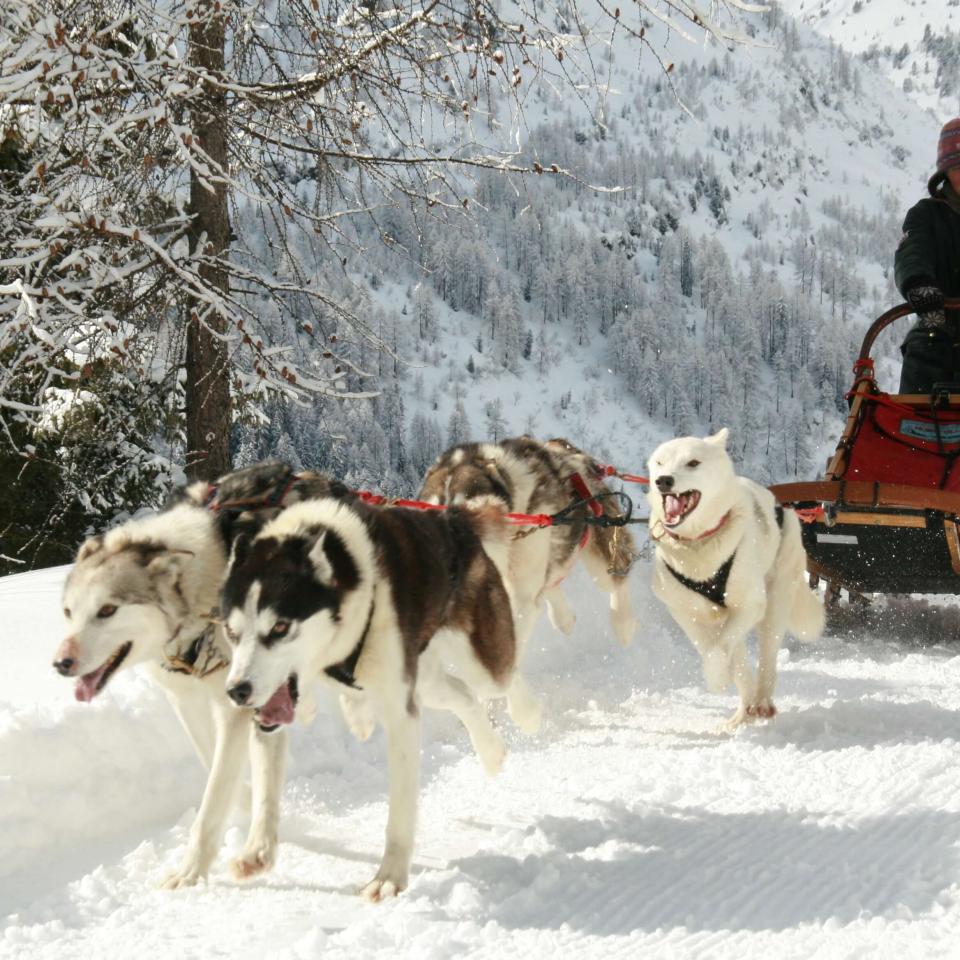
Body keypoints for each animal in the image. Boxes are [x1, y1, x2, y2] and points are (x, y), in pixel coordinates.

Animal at [52, 462, 344, 888]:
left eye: (107, 610)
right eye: (69, 612)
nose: (61, 663)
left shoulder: (234, 706)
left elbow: (214, 798)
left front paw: (191, 871)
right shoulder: (186, 699)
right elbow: (215, 765)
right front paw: (244, 798)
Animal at [216, 496, 540, 900]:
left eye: (279, 626)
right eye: (232, 631)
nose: (237, 691)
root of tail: (454, 518)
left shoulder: (401, 713)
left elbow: (399, 812)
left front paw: (389, 877)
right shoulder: (274, 707)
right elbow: (266, 791)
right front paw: (257, 851)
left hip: (481, 663)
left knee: (506, 674)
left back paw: (527, 714)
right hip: (426, 681)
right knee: (464, 696)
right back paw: (490, 751)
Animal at [644, 430, 824, 728]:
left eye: (693, 462)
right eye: (660, 463)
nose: (663, 481)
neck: (698, 543)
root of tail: (784, 508)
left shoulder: (750, 604)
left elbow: (718, 651)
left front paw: (716, 677)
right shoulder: (684, 611)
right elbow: (709, 647)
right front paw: (720, 673)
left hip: (774, 604)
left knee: (766, 658)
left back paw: (761, 703)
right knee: (738, 660)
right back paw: (743, 711)